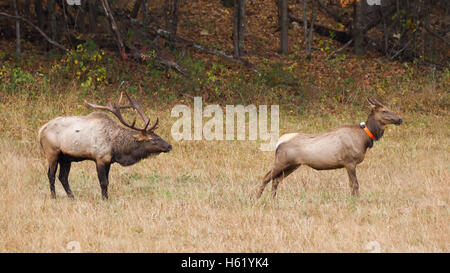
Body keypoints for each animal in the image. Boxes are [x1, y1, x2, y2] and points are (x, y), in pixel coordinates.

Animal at [38, 90, 172, 199]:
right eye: (152, 139)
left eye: (158, 135)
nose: (169, 146)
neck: (117, 148)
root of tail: (41, 130)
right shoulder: (100, 158)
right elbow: (103, 182)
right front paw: (104, 199)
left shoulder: (109, 160)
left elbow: (107, 181)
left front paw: (106, 198)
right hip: (52, 153)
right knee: (51, 175)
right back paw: (54, 197)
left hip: (66, 158)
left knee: (63, 177)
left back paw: (72, 197)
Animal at [258, 98, 402, 198]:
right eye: (384, 110)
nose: (400, 119)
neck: (365, 139)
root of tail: (278, 143)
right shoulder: (349, 162)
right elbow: (355, 184)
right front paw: (357, 200)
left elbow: (352, 184)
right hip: (282, 161)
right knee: (266, 177)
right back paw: (257, 198)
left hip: (293, 165)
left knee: (276, 180)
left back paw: (273, 198)